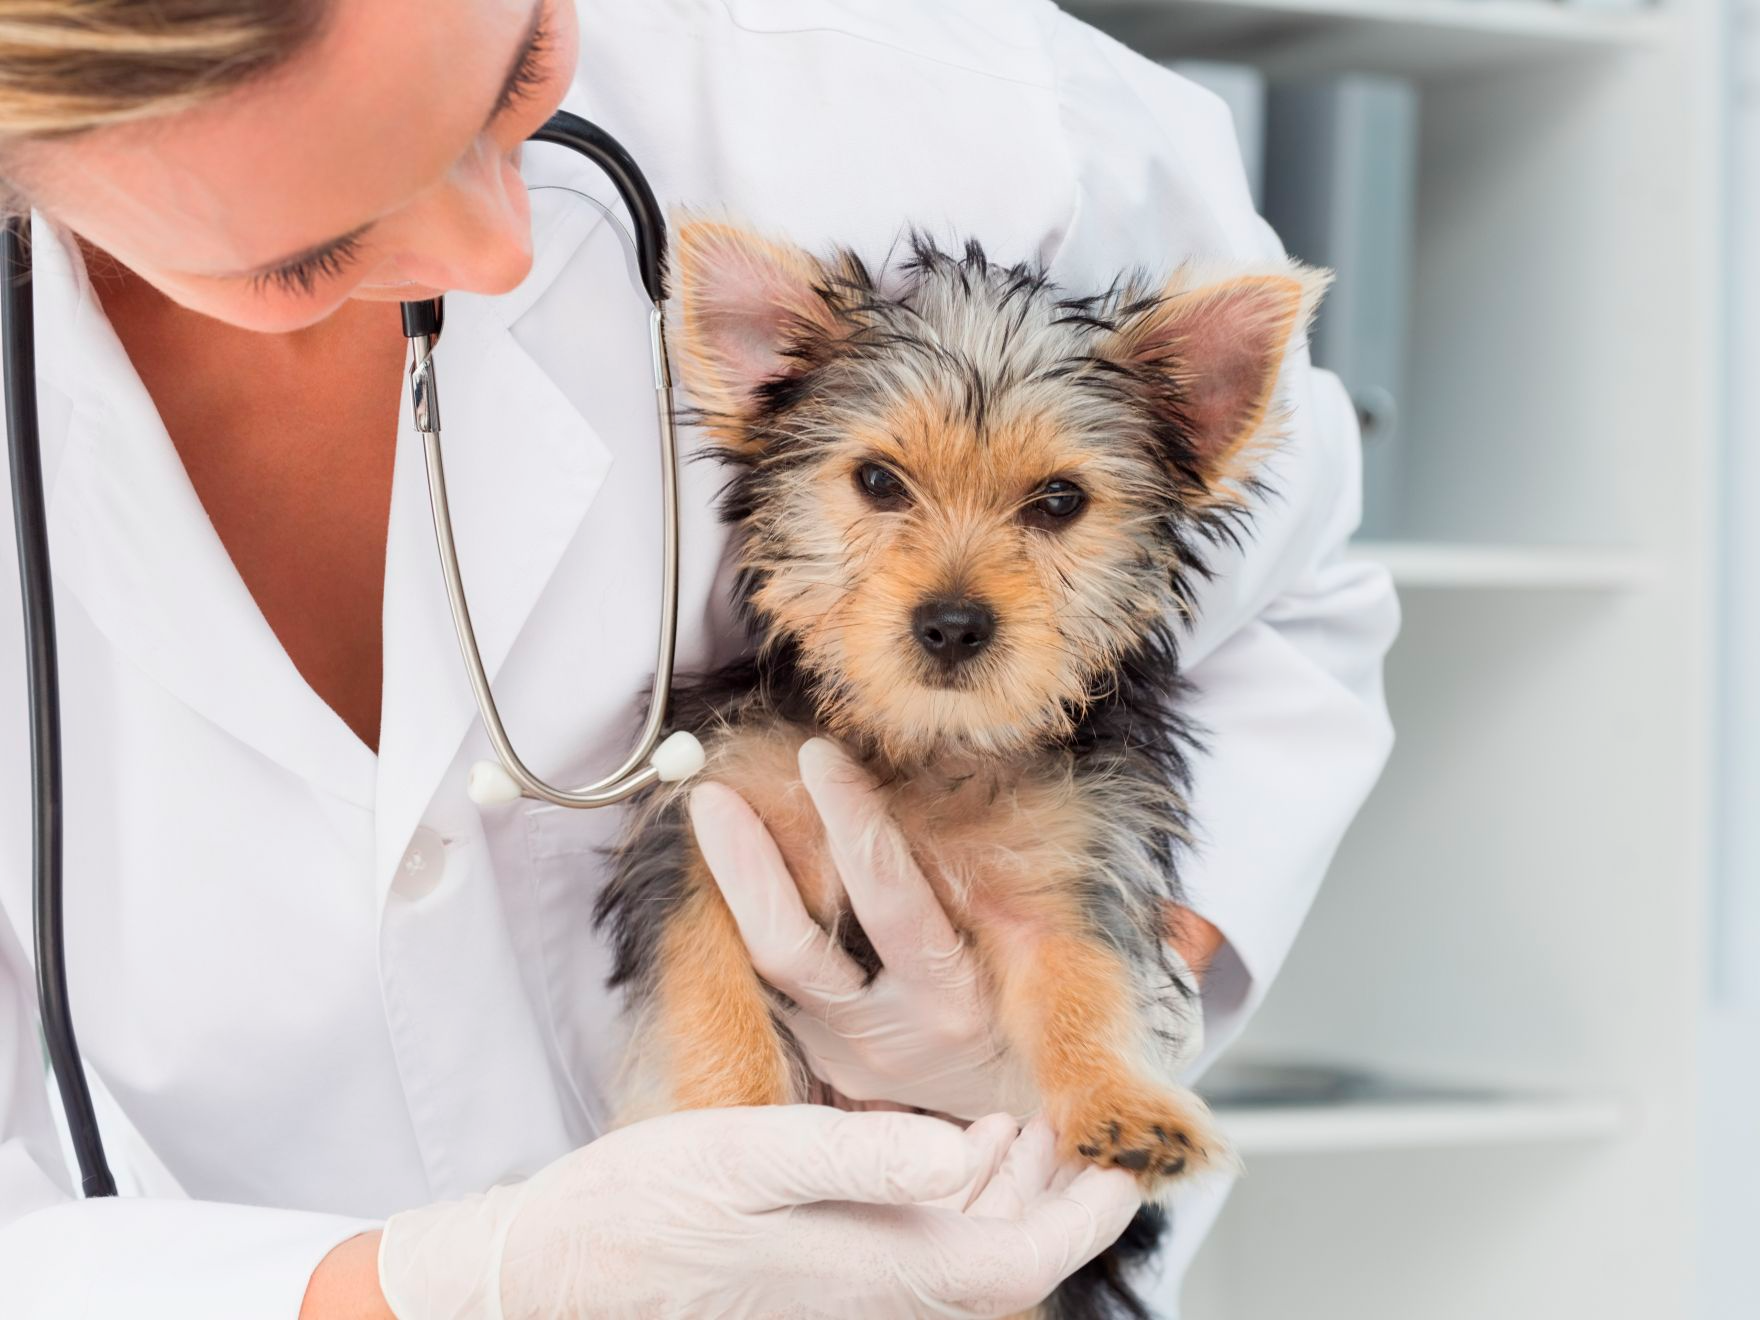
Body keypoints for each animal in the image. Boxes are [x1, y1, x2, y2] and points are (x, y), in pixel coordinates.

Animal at [591, 214, 1323, 1302]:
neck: (923, 748)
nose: (950, 624)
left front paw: (1123, 1102)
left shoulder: (1063, 863)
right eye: (877, 481)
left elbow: (1081, 982)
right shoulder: (702, 831)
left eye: (1059, 501)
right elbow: (709, 988)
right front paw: (727, 1146)